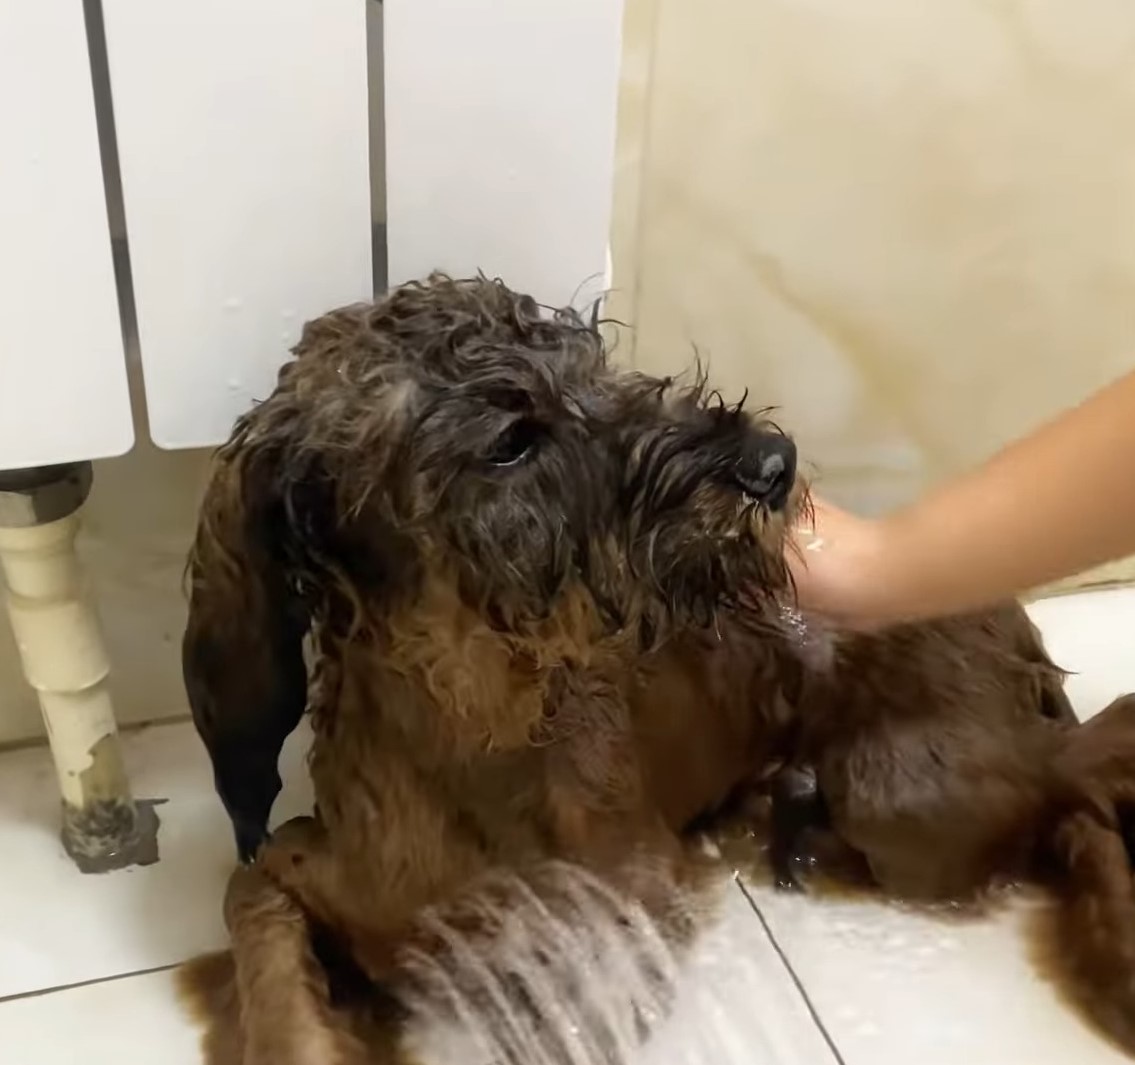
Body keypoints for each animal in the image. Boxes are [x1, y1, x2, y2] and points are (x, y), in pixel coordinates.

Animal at [181, 275, 1135, 1062]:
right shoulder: (285, 870)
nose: (771, 461)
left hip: (899, 789)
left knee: (1065, 785)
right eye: (510, 440)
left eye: (595, 362)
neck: (477, 734)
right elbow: (268, 963)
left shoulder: (609, 929)